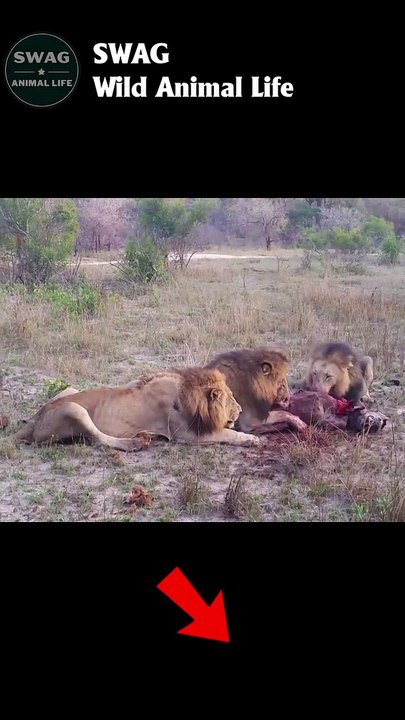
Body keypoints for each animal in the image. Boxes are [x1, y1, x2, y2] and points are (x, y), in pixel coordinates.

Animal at [10, 368, 260, 450]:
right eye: (231, 399)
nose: (239, 410)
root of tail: (34, 421)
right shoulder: (186, 434)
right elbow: (227, 433)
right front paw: (251, 439)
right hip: (74, 408)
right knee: (98, 439)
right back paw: (135, 443)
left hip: (69, 389)